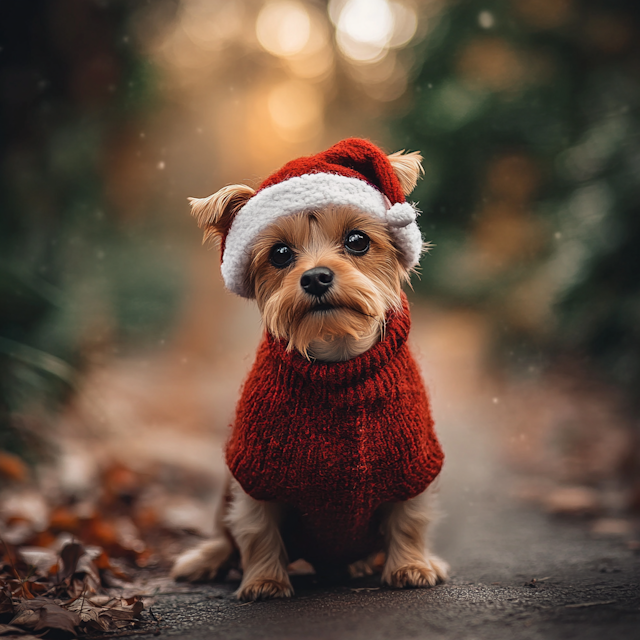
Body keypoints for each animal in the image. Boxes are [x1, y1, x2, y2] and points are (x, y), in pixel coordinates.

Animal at [172, 139, 448, 600]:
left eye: (357, 241)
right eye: (280, 253)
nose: (316, 277)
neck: (337, 361)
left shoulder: (412, 465)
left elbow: (410, 520)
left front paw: (412, 566)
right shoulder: (256, 474)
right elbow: (256, 531)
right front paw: (264, 581)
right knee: (225, 541)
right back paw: (204, 561)